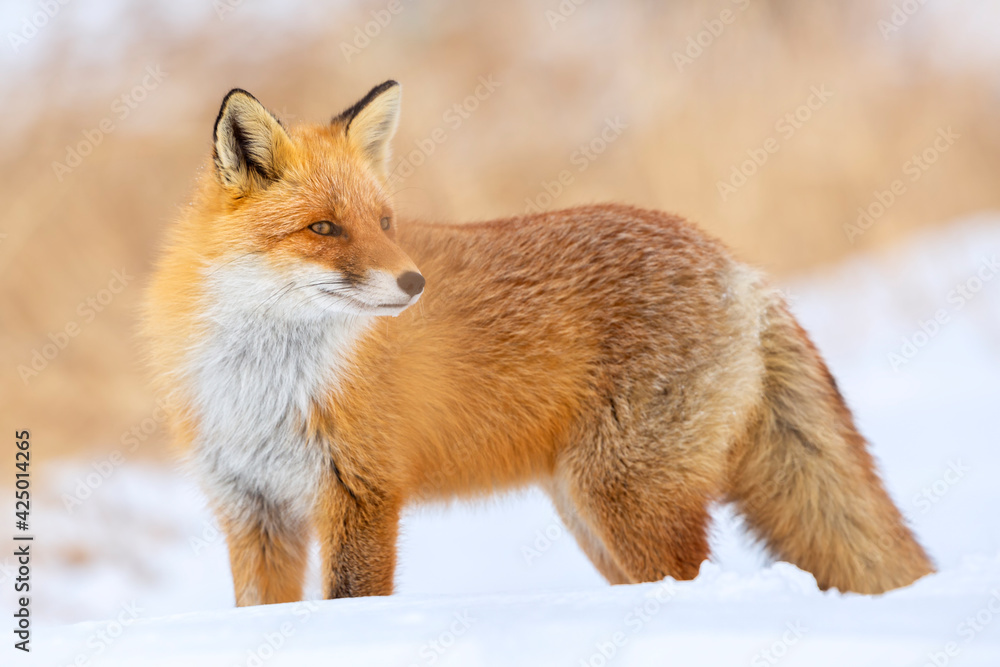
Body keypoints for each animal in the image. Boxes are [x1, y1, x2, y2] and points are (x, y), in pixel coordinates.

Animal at [144, 80, 934, 606]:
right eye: (323, 228)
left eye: (385, 221)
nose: (414, 282)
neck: (264, 378)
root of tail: (735, 261)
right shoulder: (252, 509)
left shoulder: (362, 493)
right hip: (591, 514)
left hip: (624, 499)